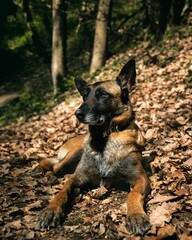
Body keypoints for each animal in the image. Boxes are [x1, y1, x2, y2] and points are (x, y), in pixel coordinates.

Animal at [35, 59, 150, 235]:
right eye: (84, 96)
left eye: (103, 95)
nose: (77, 114)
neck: (104, 138)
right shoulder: (77, 177)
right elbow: (61, 192)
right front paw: (51, 210)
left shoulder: (140, 178)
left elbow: (133, 194)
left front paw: (136, 215)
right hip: (76, 152)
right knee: (54, 166)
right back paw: (48, 175)